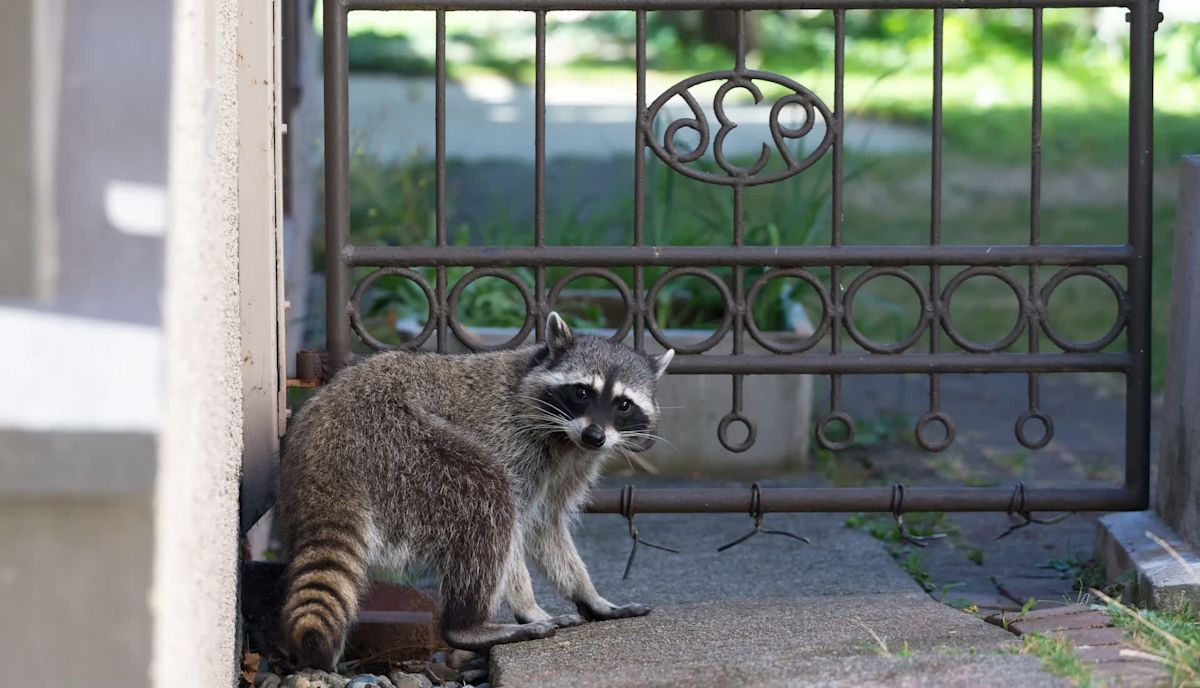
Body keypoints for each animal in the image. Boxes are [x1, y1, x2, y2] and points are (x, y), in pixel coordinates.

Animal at [277, 313, 674, 670]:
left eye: (624, 404)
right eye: (581, 391)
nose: (595, 435)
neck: (564, 436)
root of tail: (326, 445)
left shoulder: (570, 466)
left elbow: (546, 528)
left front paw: (589, 595)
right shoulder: (511, 440)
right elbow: (515, 531)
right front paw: (529, 607)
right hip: (401, 444)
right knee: (487, 496)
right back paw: (468, 625)